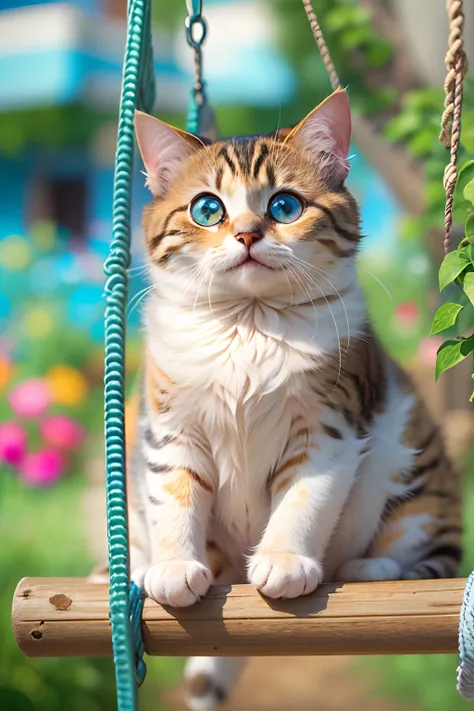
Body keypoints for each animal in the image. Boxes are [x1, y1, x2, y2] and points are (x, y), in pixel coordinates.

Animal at [124, 90, 462, 711]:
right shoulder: (169, 427)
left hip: (415, 470)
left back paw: (372, 565)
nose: (247, 234)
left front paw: (283, 559)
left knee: (422, 549)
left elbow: (306, 498)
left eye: (284, 206)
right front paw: (175, 564)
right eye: (207, 209)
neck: (249, 324)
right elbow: (173, 496)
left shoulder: (331, 425)